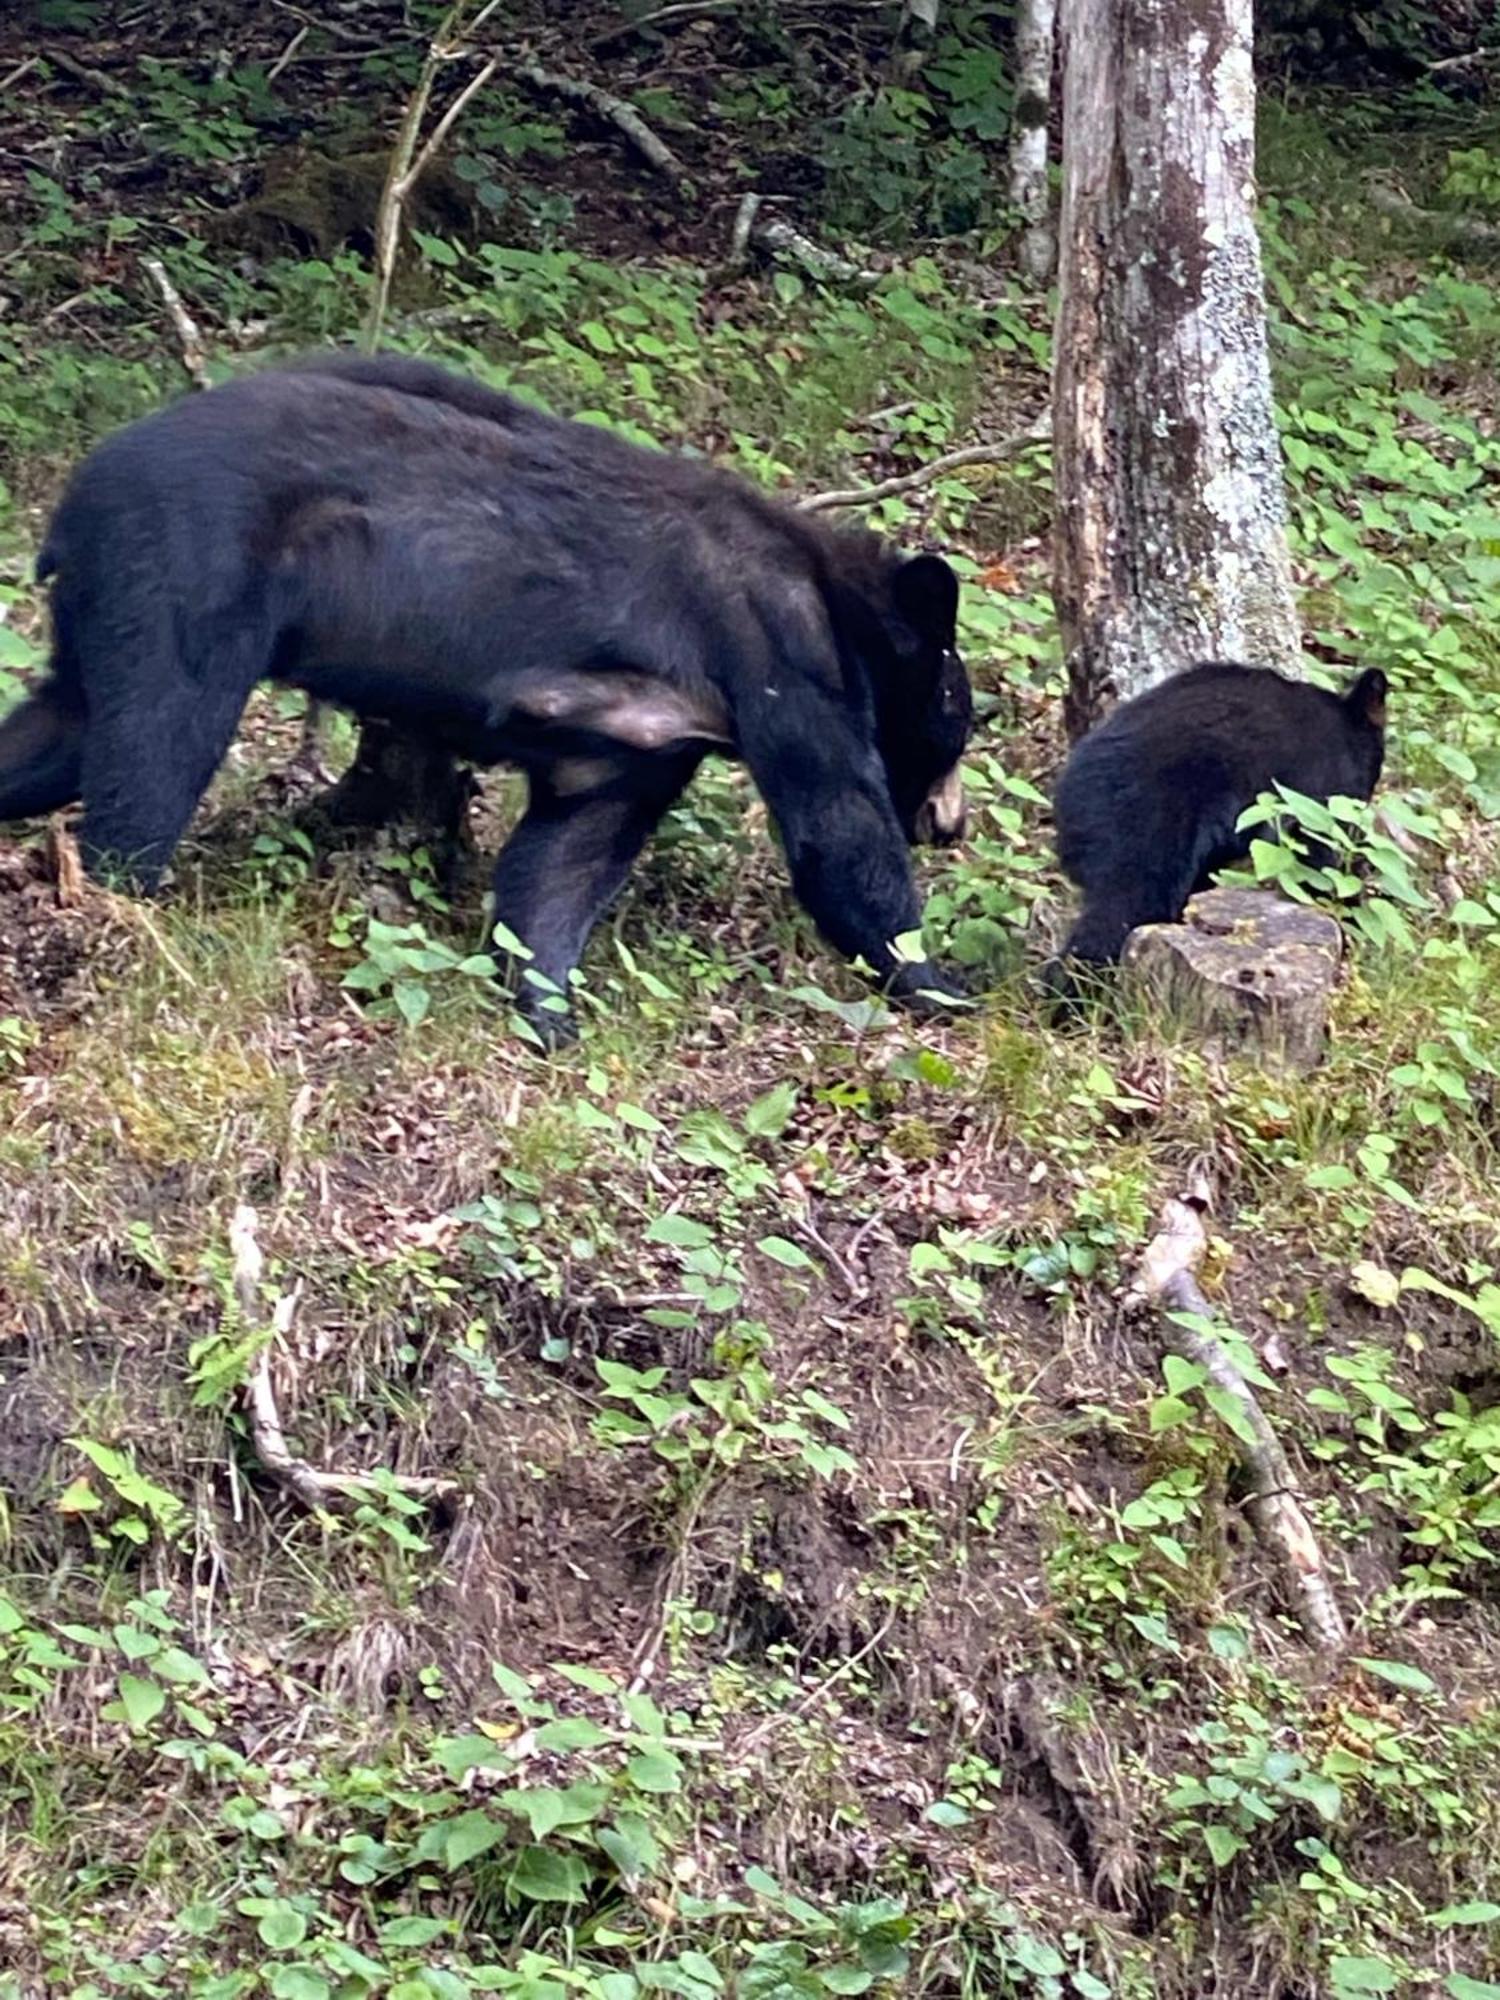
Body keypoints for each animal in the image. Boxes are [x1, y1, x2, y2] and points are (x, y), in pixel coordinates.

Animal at [5, 358, 976, 1048]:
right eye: (959, 712)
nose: (953, 823)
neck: (835, 601)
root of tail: (77, 497)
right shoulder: (775, 650)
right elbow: (837, 829)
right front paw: (943, 982)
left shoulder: (648, 740)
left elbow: (570, 853)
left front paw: (548, 1009)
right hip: (188, 569)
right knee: (159, 743)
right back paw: (121, 910)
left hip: (107, 609)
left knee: (67, 726)